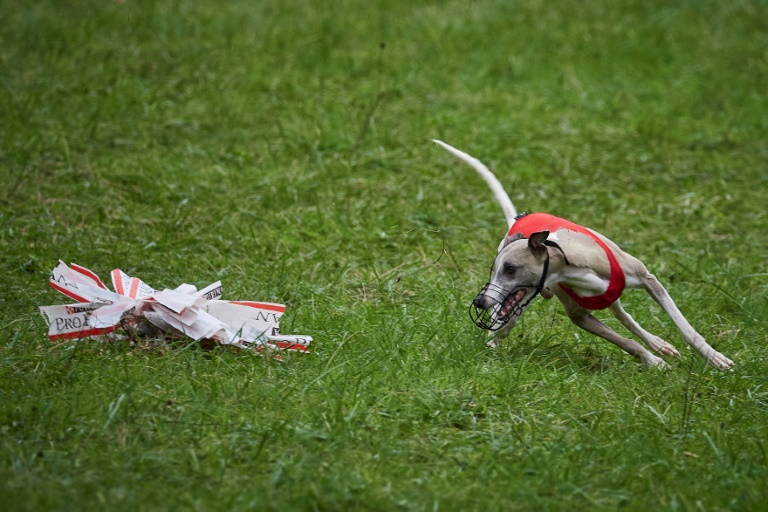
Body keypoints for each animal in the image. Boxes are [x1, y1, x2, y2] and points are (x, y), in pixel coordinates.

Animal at [436, 140, 736, 370]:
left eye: (509, 268)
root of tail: (517, 221)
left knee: (622, 314)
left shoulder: (648, 279)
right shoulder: (580, 316)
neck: (568, 262)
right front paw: (654, 362)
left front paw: (715, 358)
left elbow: (685, 328)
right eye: (493, 269)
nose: (480, 301)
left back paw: (659, 344)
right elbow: (626, 342)